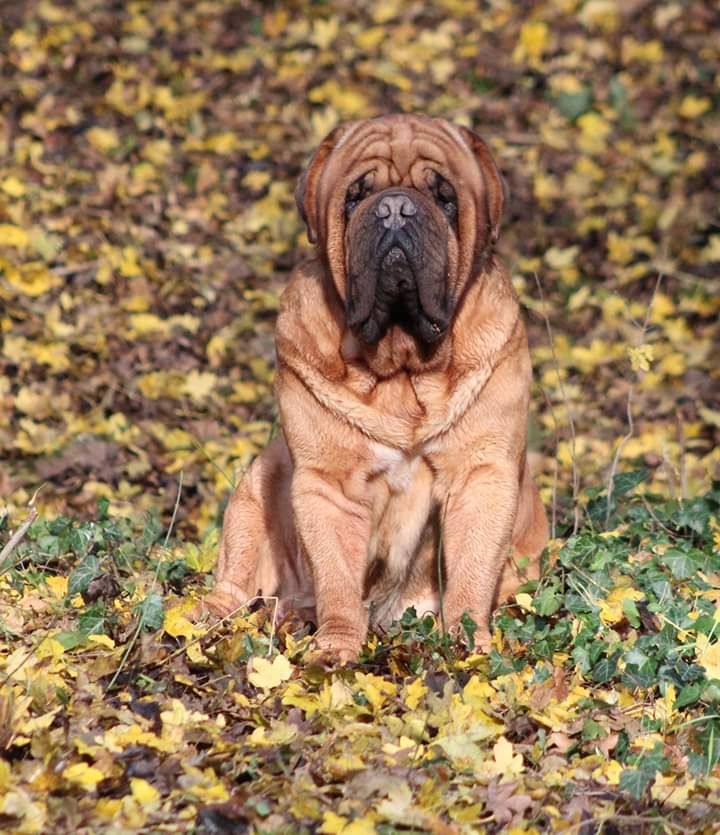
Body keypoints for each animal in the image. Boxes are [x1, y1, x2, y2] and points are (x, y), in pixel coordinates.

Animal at [200, 114, 548, 664]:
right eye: (356, 196)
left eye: (445, 197)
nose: (395, 208)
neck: (402, 367)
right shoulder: (328, 485)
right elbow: (338, 577)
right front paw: (336, 648)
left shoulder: (481, 474)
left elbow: (471, 569)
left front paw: (467, 642)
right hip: (254, 489)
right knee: (236, 582)